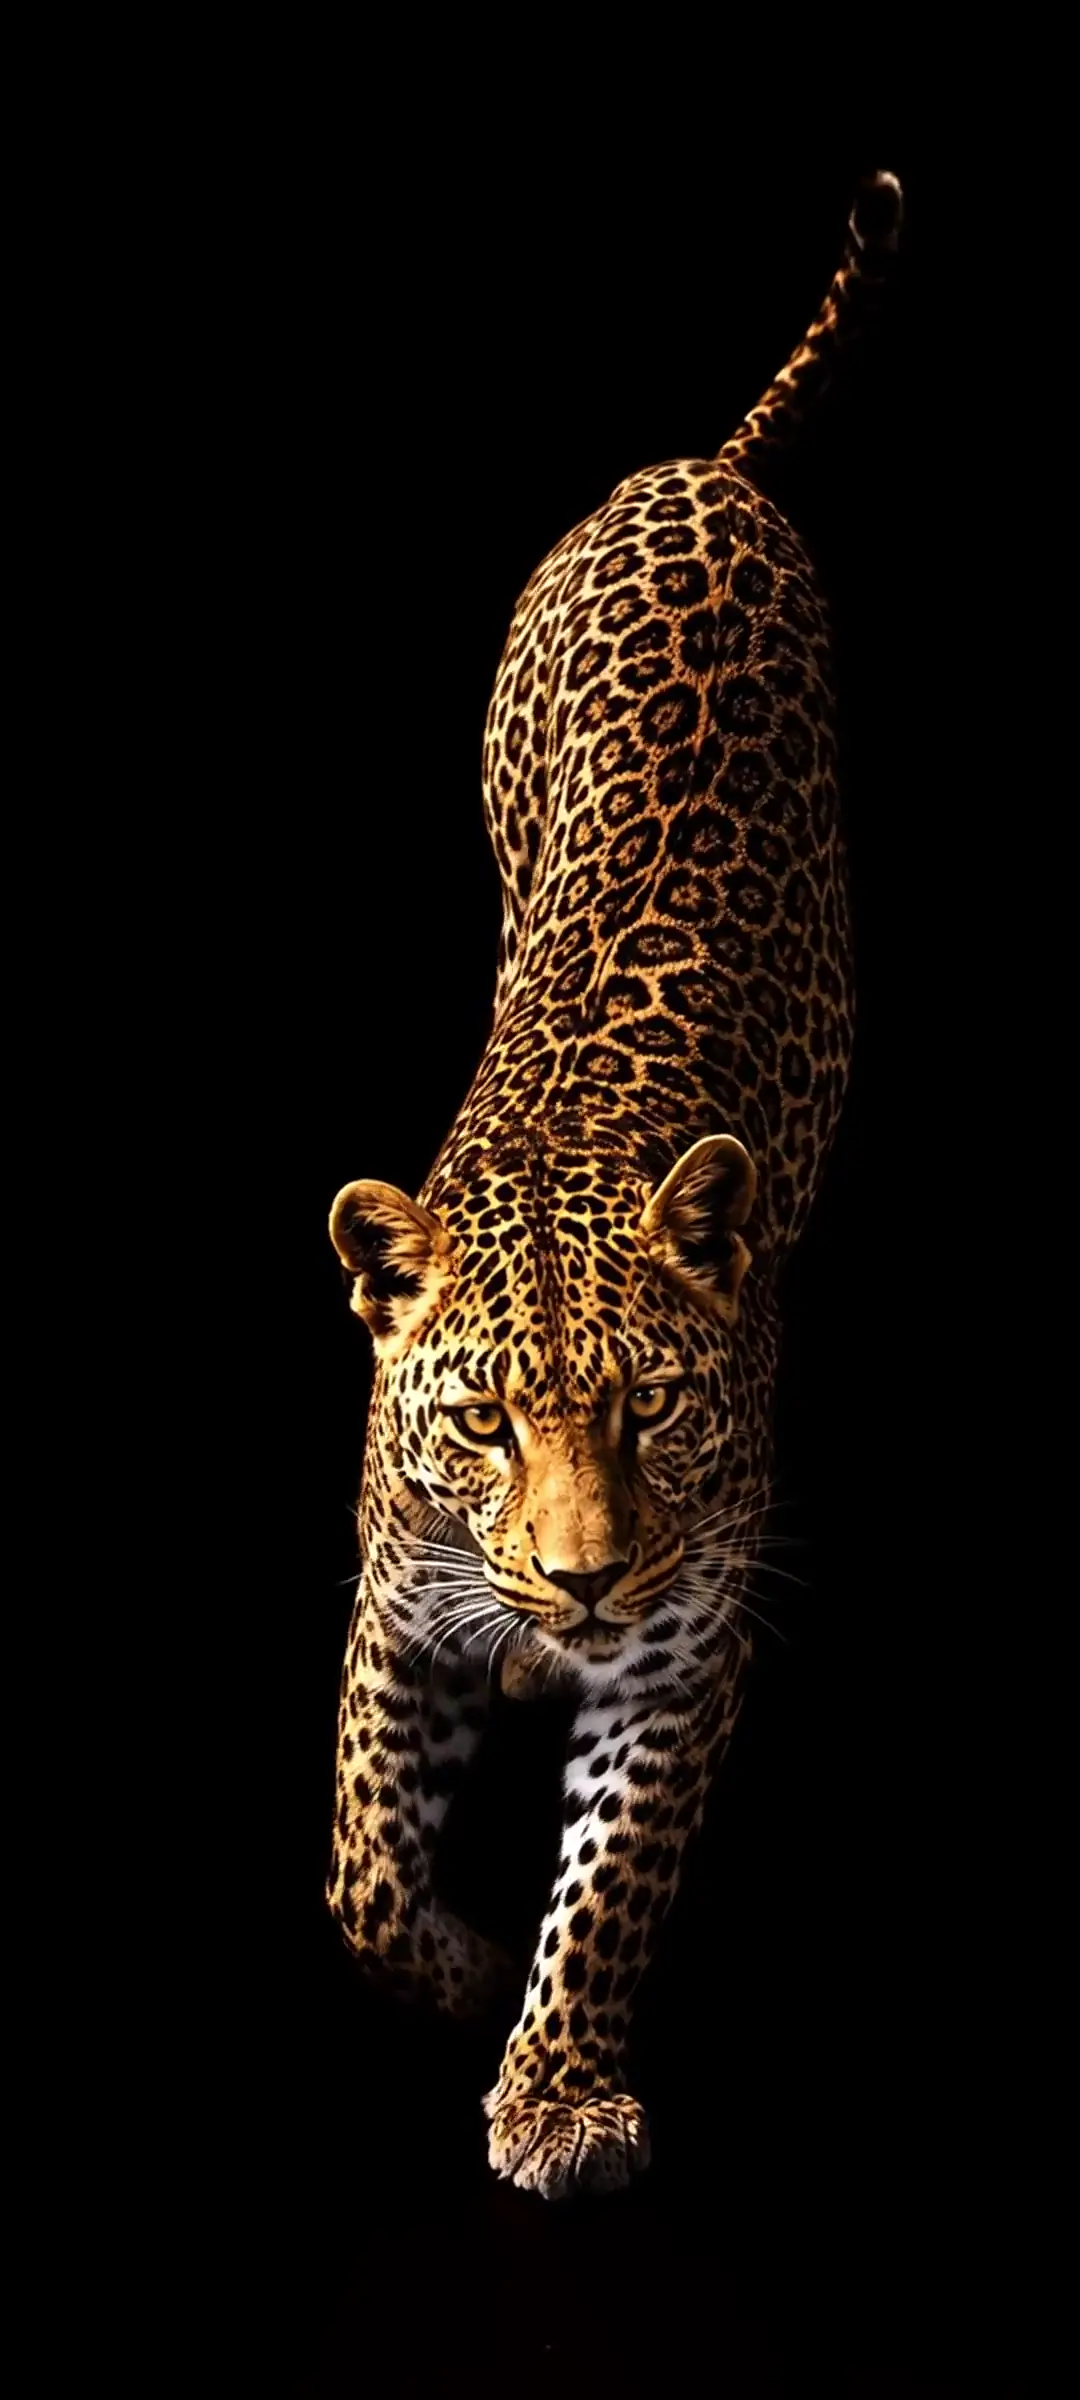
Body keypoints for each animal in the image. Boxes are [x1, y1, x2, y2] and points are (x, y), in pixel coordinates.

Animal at [326, 170, 904, 2201]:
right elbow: (358, 1867)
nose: (577, 1582)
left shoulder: (685, 1641)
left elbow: (614, 1886)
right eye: (485, 1426)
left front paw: (557, 2082)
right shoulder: (392, 1603)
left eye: (652, 1411)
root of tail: (699, 473)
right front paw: (448, 1964)